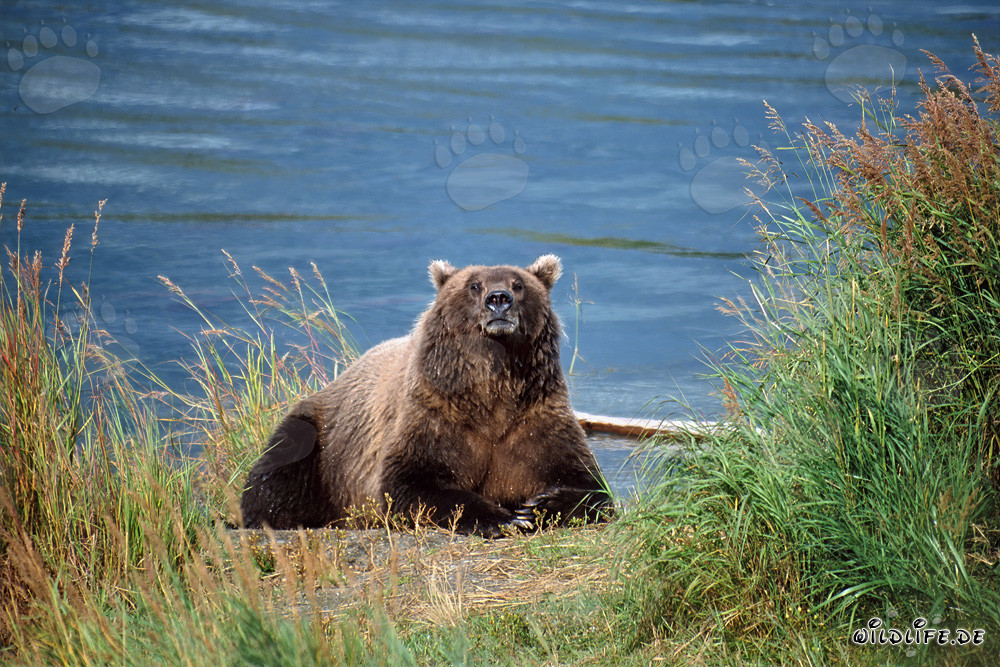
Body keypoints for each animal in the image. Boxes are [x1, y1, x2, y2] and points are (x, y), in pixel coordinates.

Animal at [239, 254, 613, 537]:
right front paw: (499, 518)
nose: (498, 299)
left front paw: (538, 507)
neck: (493, 392)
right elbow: (411, 484)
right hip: (321, 437)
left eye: (518, 284)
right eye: (473, 285)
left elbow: (589, 484)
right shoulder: (434, 414)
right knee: (281, 469)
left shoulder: (534, 417)